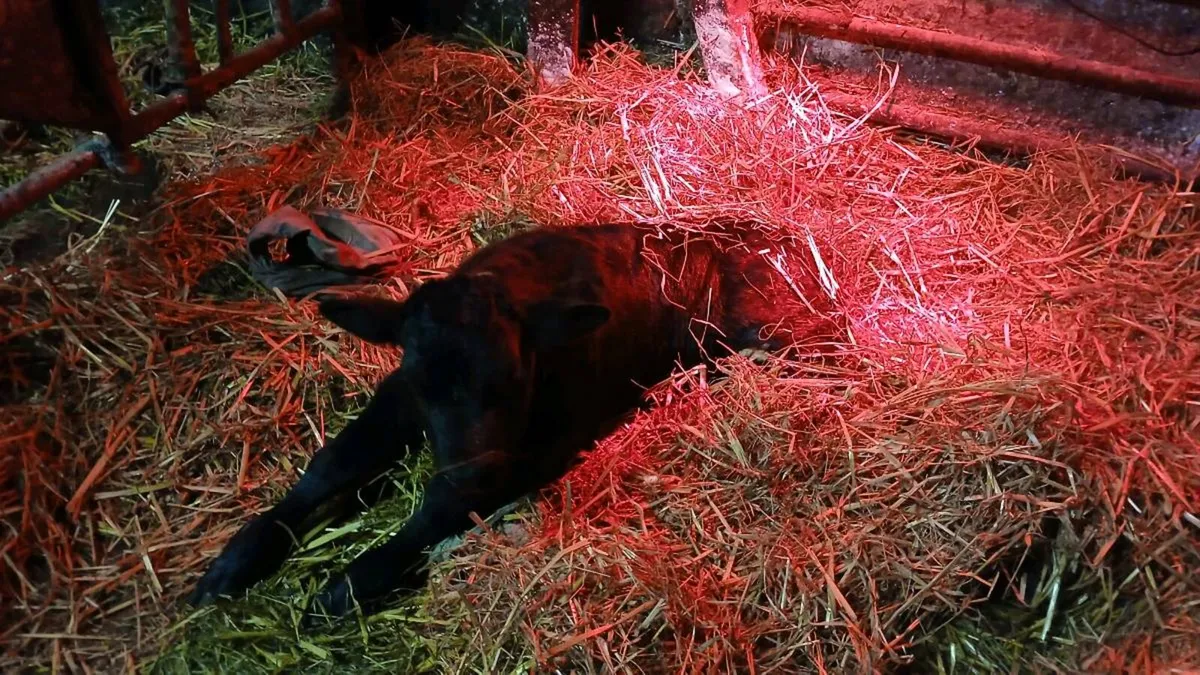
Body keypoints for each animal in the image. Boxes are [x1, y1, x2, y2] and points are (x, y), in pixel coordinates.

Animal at [188, 221, 843, 626]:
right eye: (425, 383)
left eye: (516, 375)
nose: (470, 470)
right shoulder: (400, 395)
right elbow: (333, 463)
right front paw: (231, 565)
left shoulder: (539, 449)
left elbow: (438, 509)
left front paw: (346, 586)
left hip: (776, 333)